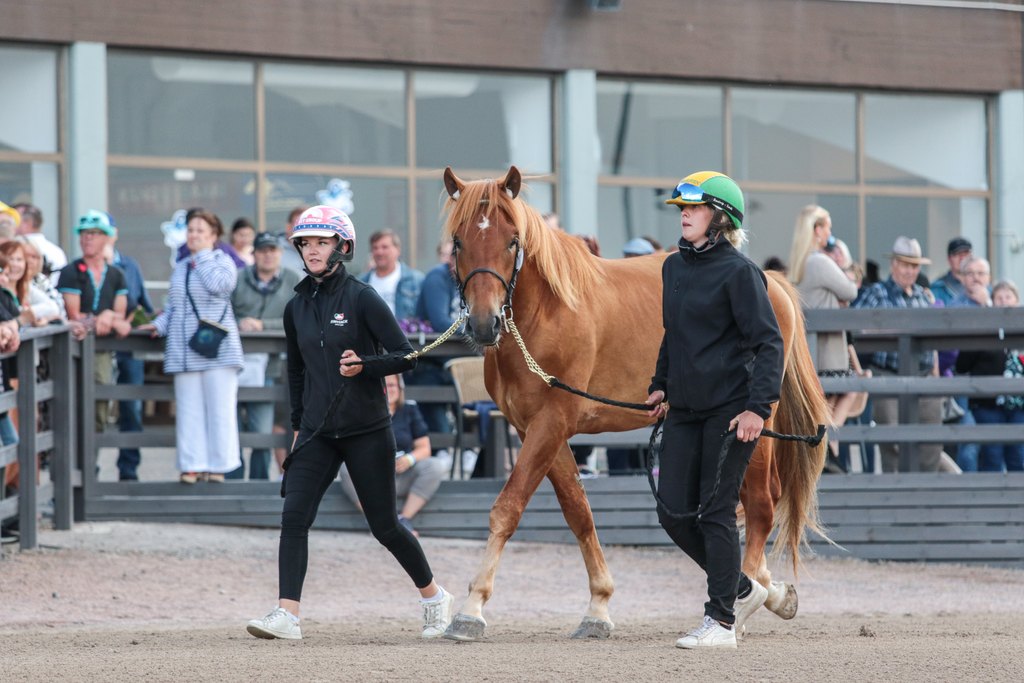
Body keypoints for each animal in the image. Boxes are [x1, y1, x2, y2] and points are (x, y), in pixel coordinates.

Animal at [442, 163, 831, 643]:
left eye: (512, 240)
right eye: (459, 241)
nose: (483, 323)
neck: (546, 314)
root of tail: (770, 281)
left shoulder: (551, 423)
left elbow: (508, 508)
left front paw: (472, 609)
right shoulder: (537, 428)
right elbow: (578, 511)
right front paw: (598, 607)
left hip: (753, 433)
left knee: (760, 506)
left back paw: (748, 599)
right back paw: (768, 594)